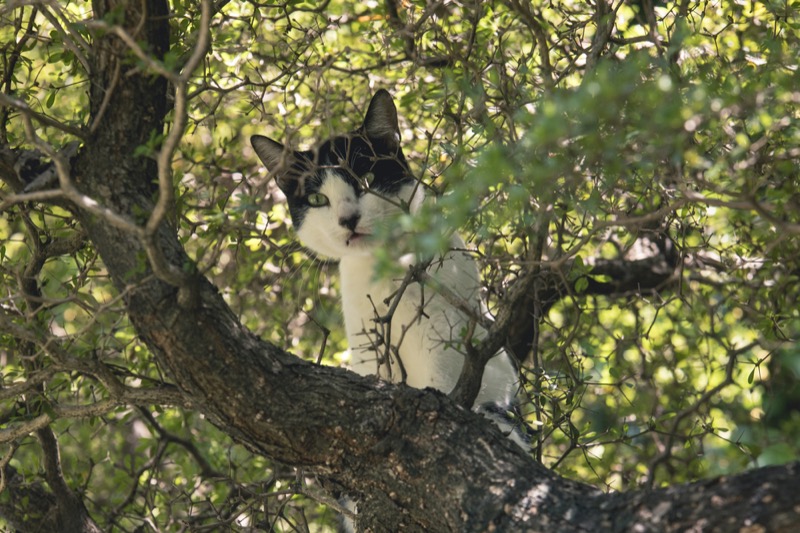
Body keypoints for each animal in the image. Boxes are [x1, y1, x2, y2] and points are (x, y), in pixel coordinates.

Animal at [252, 89, 524, 428]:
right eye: (317, 199)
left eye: (367, 180)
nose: (348, 219)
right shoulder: (366, 346)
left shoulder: (445, 333)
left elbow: (445, 376)